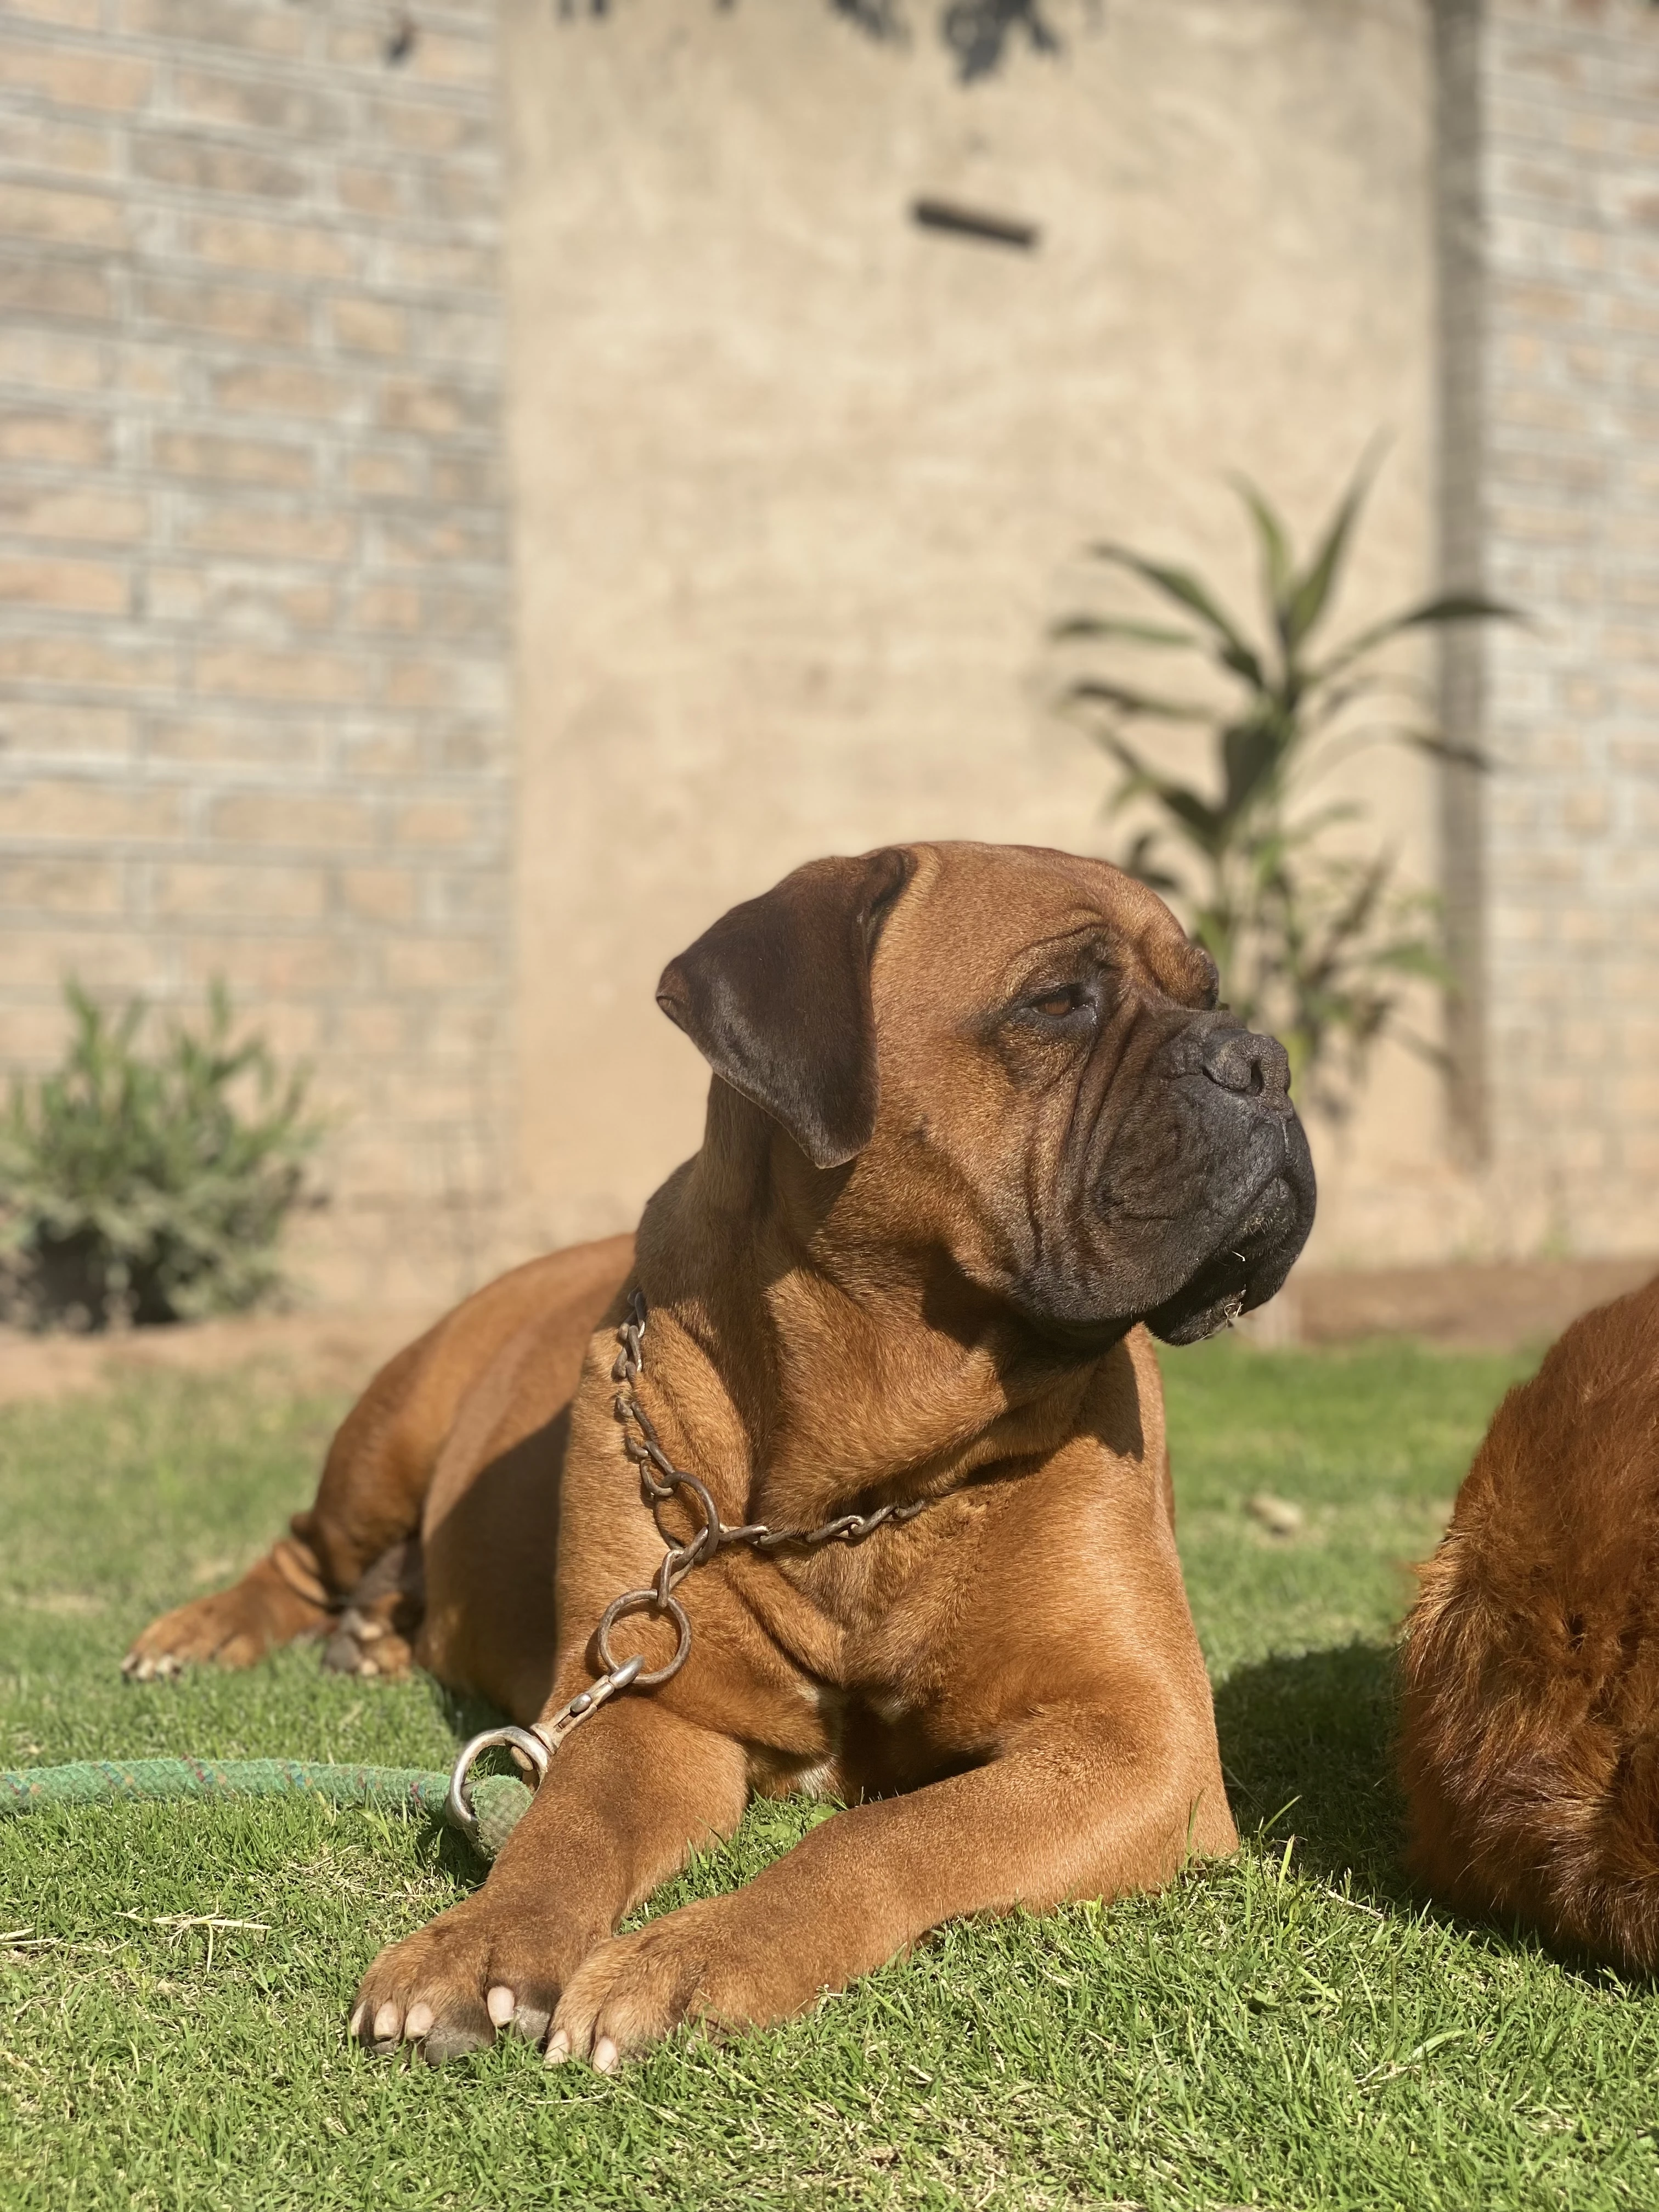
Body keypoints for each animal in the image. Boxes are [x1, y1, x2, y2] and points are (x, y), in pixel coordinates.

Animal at [123, 836, 1318, 2061]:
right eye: (1058, 1001)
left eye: (1211, 994)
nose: (1264, 1060)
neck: (861, 1477)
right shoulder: (653, 1703)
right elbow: (565, 1828)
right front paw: (482, 1941)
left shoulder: (1140, 1743)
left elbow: (890, 1833)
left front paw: (699, 1955)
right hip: (389, 1433)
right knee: (304, 1551)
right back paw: (208, 1633)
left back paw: (372, 1635)